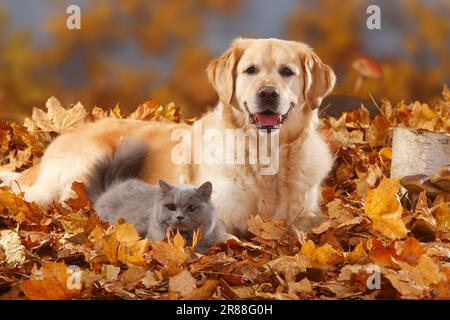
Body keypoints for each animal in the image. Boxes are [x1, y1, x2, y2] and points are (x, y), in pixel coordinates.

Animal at [9, 38, 334, 238]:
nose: (267, 93)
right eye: (250, 70)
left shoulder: (306, 215)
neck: (267, 156)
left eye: (287, 71)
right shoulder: (220, 214)